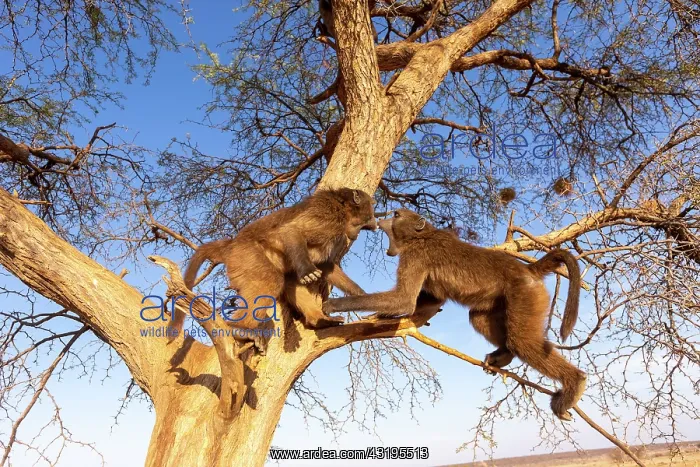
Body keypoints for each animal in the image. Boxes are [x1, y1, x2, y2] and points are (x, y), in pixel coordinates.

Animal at [180, 188, 377, 353]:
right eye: (368, 219)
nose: (374, 225)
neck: (341, 206)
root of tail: (231, 245)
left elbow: (326, 265)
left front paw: (361, 296)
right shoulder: (328, 217)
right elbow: (291, 230)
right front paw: (308, 270)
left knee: (288, 280)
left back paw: (319, 320)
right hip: (246, 256)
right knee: (272, 280)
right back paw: (240, 328)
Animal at [322, 209, 586, 421]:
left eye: (396, 215)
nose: (380, 219)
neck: (423, 235)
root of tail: (528, 269)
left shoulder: (416, 255)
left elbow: (404, 299)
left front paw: (333, 305)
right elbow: (430, 300)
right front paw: (380, 316)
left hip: (525, 293)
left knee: (522, 342)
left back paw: (574, 383)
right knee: (479, 318)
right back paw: (504, 355)